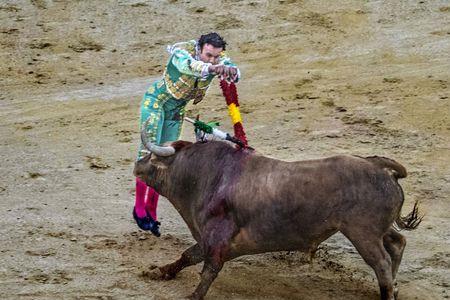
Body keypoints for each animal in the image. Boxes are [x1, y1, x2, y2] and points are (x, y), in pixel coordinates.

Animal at [134, 134, 422, 300]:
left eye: (152, 156)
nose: (136, 164)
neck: (202, 175)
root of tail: (378, 166)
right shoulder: (208, 240)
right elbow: (188, 256)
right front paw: (159, 272)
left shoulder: (216, 238)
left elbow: (207, 270)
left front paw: (193, 296)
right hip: (376, 230)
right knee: (397, 243)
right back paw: (395, 285)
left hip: (362, 233)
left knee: (382, 261)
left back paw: (388, 291)